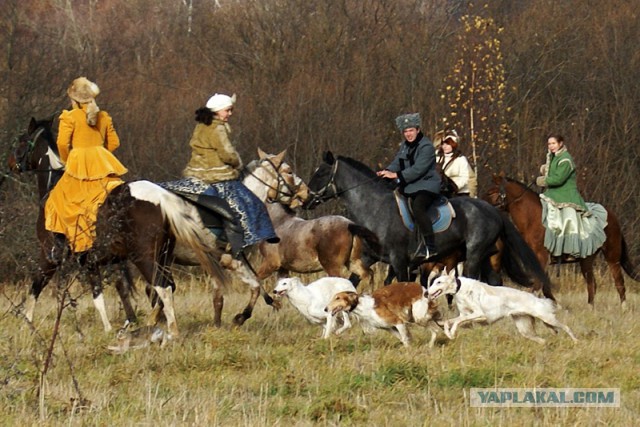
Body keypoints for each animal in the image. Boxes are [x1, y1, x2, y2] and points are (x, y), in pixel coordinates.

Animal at [9, 118, 225, 338]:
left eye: (21, 141)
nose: (11, 164)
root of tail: (163, 197)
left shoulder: (49, 255)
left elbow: (36, 286)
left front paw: (27, 324)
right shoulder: (91, 261)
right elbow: (101, 295)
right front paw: (111, 328)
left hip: (144, 257)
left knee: (162, 287)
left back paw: (171, 331)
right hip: (163, 256)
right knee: (168, 287)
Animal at [304, 152, 556, 300]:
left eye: (322, 173)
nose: (305, 201)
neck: (375, 208)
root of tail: (493, 210)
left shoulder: (399, 260)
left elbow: (403, 286)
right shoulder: (369, 258)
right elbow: (351, 282)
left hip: (474, 254)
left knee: (473, 281)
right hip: (486, 256)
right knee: (493, 282)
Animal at [428, 270, 576, 346]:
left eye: (439, 282)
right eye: (434, 281)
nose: (427, 292)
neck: (460, 288)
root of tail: (536, 298)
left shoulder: (479, 314)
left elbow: (457, 322)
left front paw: (452, 332)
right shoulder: (465, 315)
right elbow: (450, 321)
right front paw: (447, 331)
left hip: (547, 318)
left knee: (566, 327)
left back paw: (576, 341)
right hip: (525, 329)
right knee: (543, 340)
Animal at [484, 174, 640, 308]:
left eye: (491, 192)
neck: (533, 219)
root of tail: (612, 216)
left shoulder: (542, 257)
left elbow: (538, 286)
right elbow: (545, 287)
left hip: (612, 256)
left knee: (619, 282)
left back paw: (623, 308)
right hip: (586, 260)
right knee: (592, 284)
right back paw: (590, 308)